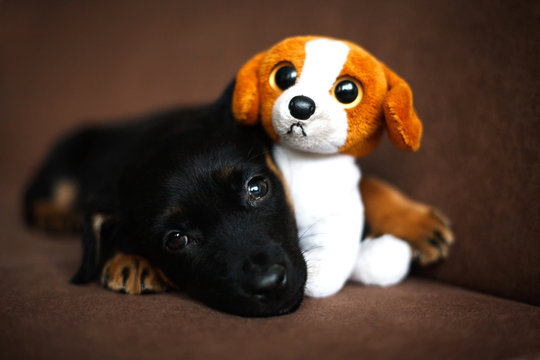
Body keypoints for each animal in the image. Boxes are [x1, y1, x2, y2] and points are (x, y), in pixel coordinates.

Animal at [24, 88, 308, 318]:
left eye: (257, 188)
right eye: (176, 239)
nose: (270, 283)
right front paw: (129, 260)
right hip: (65, 152)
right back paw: (58, 216)